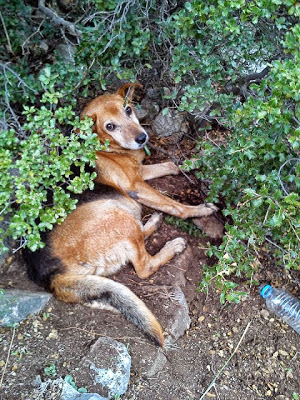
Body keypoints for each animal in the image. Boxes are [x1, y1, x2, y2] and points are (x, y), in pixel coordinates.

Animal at [22, 82, 216, 346]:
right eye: (110, 126)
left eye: (128, 110)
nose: (142, 138)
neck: (105, 147)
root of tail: (50, 277)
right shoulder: (136, 186)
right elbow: (174, 204)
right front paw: (199, 210)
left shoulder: (141, 172)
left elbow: (172, 165)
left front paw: (198, 160)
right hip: (114, 213)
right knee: (144, 266)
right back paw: (173, 246)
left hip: (121, 214)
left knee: (139, 237)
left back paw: (154, 222)